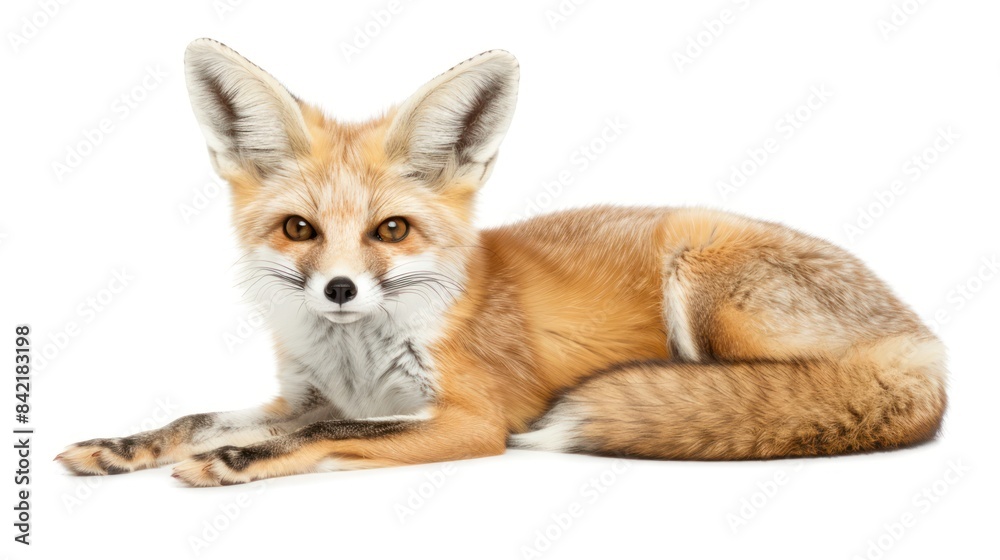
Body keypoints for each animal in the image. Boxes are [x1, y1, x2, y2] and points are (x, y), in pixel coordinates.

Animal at [56, 39, 947, 487]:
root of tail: (924, 341)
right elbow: (196, 417)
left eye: (390, 230)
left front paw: (236, 461)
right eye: (299, 229)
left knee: (776, 400)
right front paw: (127, 445)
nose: (340, 289)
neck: (362, 353)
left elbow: (341, 433)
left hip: (700, 271)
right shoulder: (304, 396)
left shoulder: (471, 419)